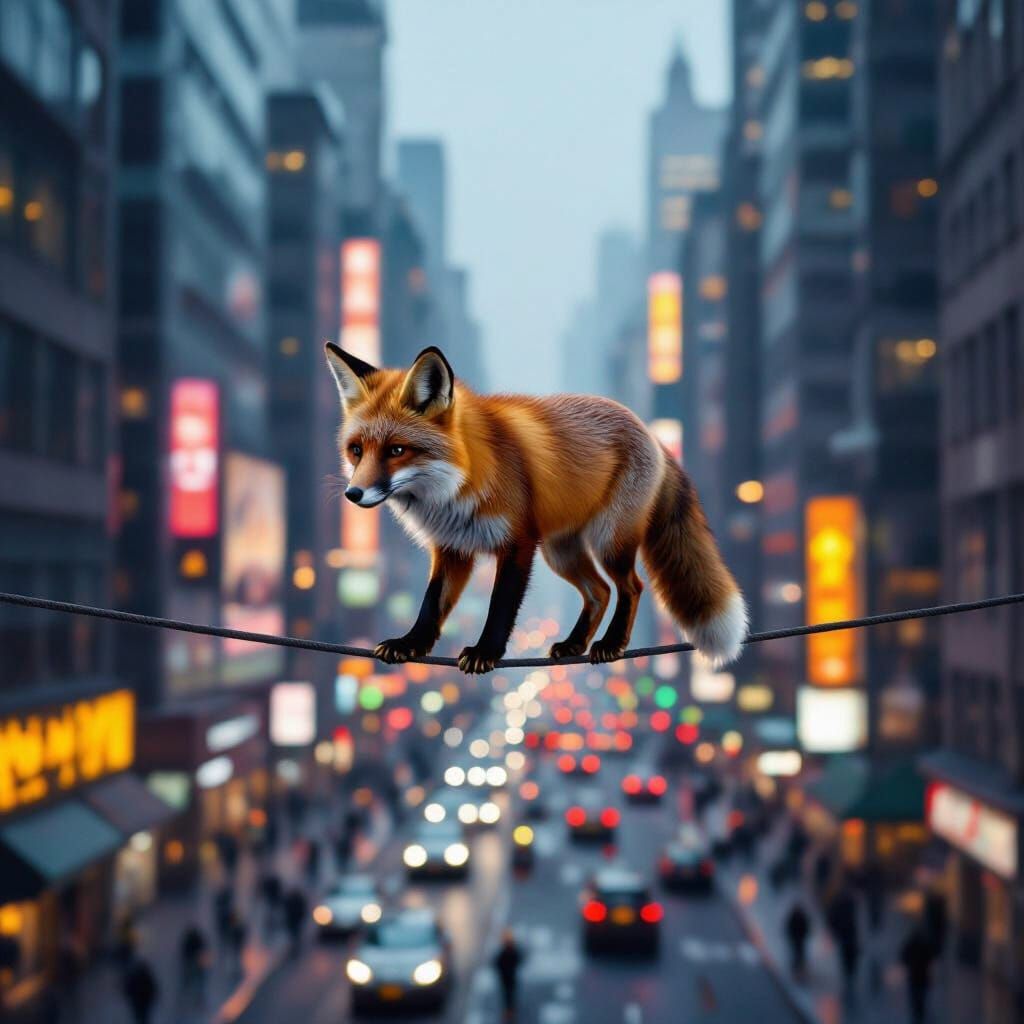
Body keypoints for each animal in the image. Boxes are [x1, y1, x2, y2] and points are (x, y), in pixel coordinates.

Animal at [325, 342, 747, 675]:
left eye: (397, 450)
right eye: (356, 450)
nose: (353, 494)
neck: (459, 482)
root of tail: (651, 433)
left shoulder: (517, 543)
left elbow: (500, 605)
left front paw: (486, 652)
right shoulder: (452, 547)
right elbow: (431, 604)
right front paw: (411, 643)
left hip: (608, 541)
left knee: (631, 586)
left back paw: (610, 644)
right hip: (561, 552)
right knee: (599, 591)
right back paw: (574, 644)